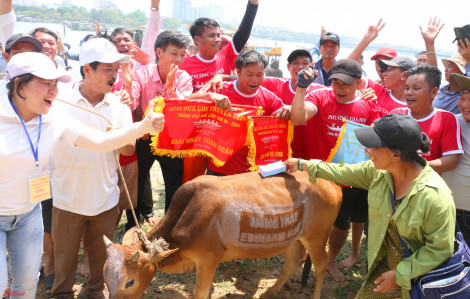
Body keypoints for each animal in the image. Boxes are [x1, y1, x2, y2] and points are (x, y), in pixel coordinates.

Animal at [103, 171, 342, 299]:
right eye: (105, 278)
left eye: (130, 282)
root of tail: (332, 184)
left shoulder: (208, 259)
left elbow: (199, 293)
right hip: (293, 238)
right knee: (294, 261)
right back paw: (270, 292)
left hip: (317, 237)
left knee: (320, 265)